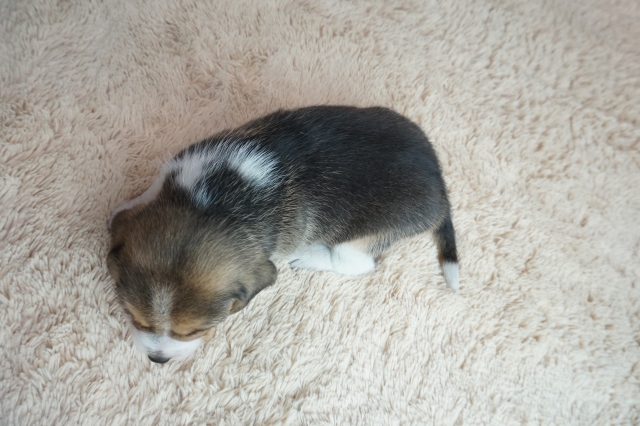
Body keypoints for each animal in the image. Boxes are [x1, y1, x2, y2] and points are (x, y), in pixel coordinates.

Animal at [107, 106, 459, 364]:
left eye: (194, 331)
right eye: (136, 319)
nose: (158, 359)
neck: (209, 202)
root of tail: (442, 189)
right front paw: (125, 207)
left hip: (360, 239)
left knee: (357, 264)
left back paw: (310, 256)